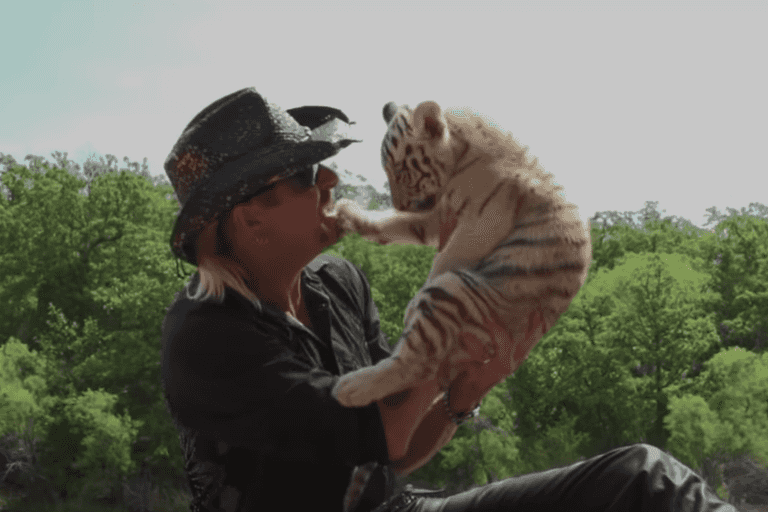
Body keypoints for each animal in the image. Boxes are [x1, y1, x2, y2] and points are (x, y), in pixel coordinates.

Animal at [330, 100, 592, 462]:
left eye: (402, 171)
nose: (398, 202)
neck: (460, 157)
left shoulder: (479, 223)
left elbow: (443, 258)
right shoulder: (437, 215)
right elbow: (397, 224)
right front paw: (350, 214)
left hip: (453, 291)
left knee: (417, 363)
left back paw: (352, 386)